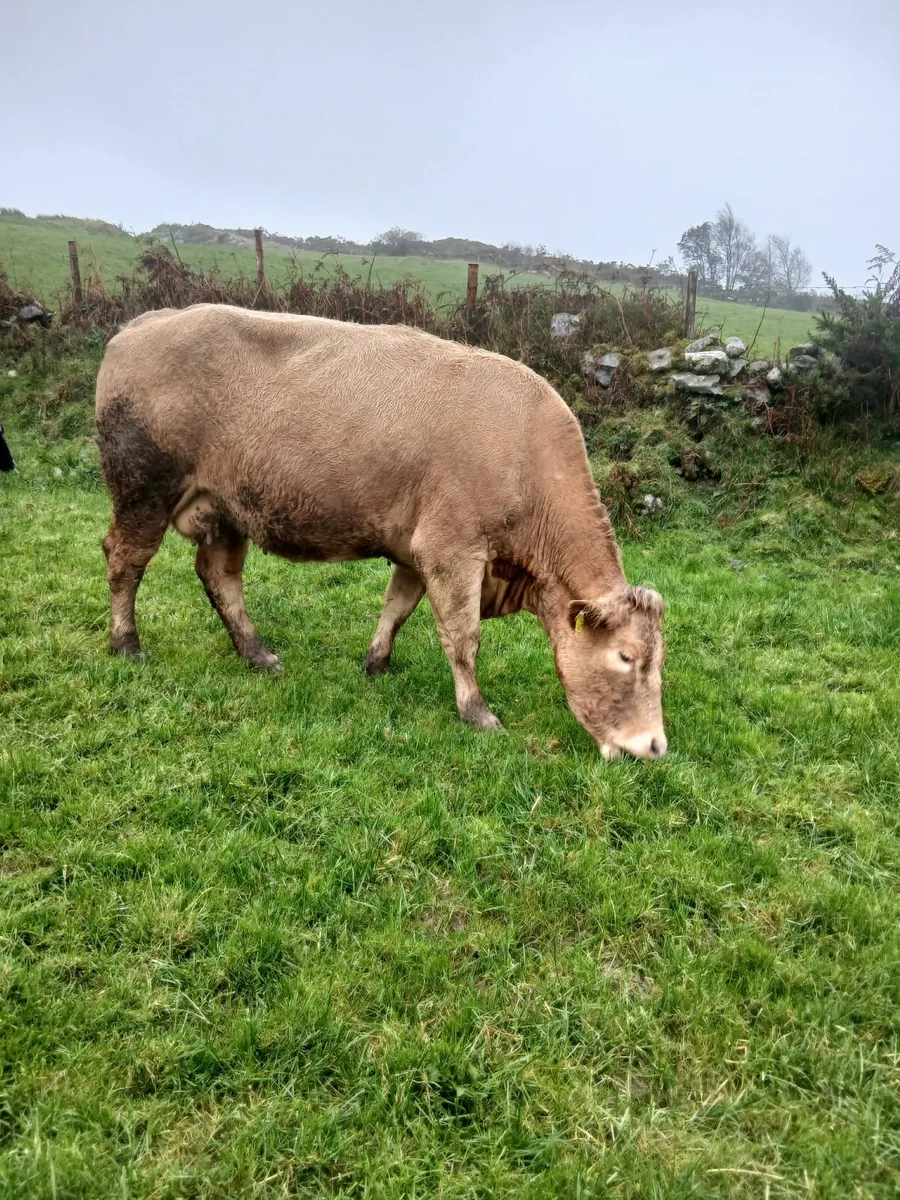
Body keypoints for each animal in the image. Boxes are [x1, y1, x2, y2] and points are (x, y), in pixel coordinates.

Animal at [95, 304, 667, 759]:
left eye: (660, 661)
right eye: (626, 657)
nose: (654, 746)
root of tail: (147, 322)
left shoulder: (415, 551)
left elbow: (396, 609)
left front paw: (377, 665)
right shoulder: (450, 548)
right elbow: (463, 637)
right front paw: (477, 712)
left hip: (225, 511)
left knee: (219, 577)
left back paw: (257, 654)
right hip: (144, 490)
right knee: (126, 559)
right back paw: (127, 643)